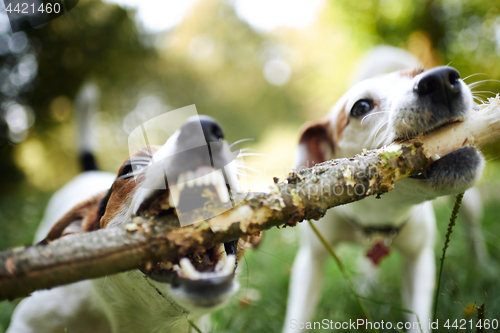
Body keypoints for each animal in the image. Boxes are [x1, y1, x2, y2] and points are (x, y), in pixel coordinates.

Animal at [284, 47, 482, 332]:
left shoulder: (418, 260)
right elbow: (297, 316)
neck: (379, 213)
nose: (442, 79)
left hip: (470, 203)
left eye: (419, 73)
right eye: (361, 107)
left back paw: (482, 264)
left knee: (474, 229)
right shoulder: (311, 259)